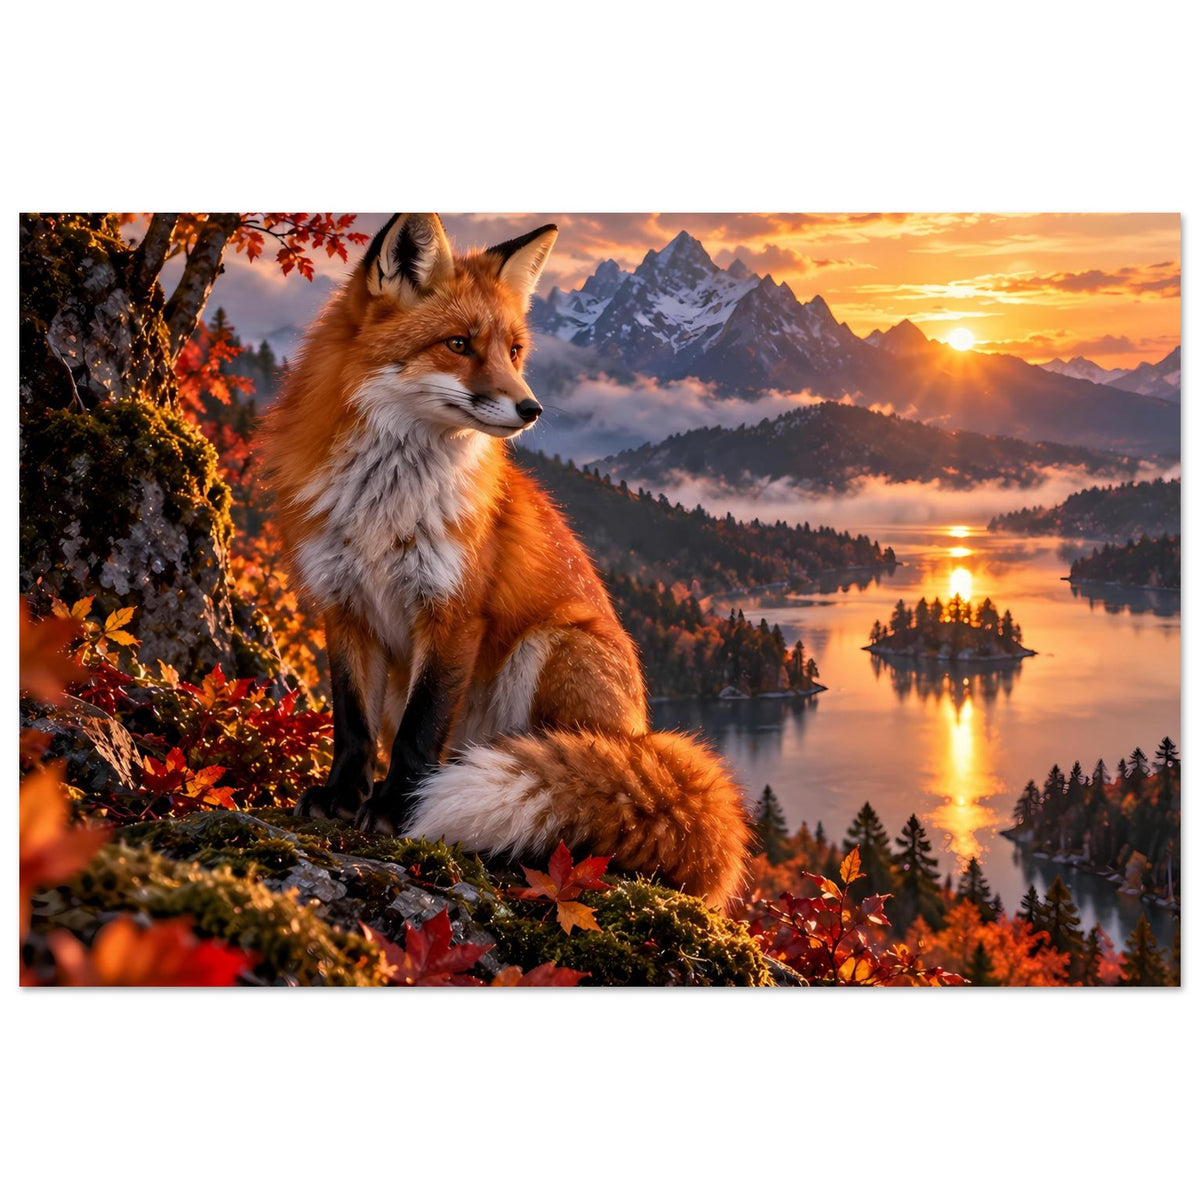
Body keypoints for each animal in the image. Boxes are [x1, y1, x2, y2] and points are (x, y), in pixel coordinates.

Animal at [261, 213, 751, 909]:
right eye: (459, 344)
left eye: (514, 352)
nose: (532, 409)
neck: (384, 507)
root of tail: (642, 734)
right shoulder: (343, 603)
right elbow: (353, 725)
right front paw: (342, 799)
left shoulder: (453, 611)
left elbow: (417, 732)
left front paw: (397, 811)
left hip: (552, 645)